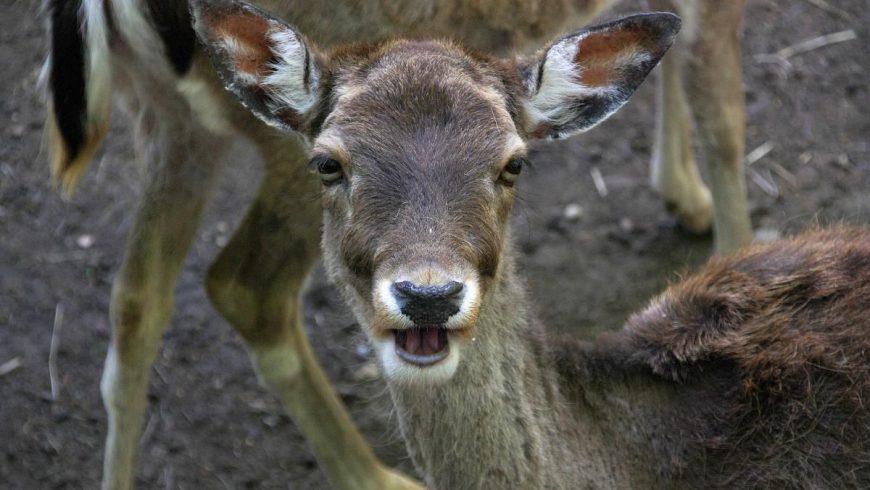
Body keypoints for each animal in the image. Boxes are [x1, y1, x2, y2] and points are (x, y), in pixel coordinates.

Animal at [46, 0, 756, 490]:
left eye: (514, 164)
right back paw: (377, 476)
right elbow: (723, 118)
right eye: (330, 162)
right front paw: (729, 241)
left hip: (165, 122)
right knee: (243, 286)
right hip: (268, 145)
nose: (429, 296)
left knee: (135, 300)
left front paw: (682, 194)